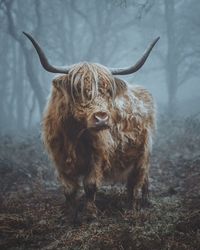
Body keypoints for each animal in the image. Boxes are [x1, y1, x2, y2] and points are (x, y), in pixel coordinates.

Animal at [22, 31, 159, 221]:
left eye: (108, 91)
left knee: (136, 180)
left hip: (143, 152)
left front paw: (90, 214)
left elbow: (90, 185)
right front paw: (71, 215)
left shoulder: (98, 155)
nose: (101, 118)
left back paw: (134, 207)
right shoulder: (59, 159)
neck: (74, 134)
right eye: (77, 89)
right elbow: (69, 189)